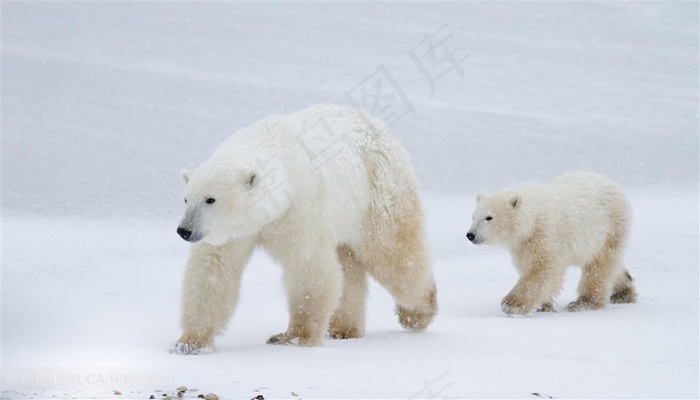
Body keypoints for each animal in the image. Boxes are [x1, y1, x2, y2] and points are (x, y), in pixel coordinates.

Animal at [172, 104, 434, 354]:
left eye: (211, 199)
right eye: (186, 199)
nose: (184, 230)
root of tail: (384, 129)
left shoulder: (300, 207)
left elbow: (307, 265)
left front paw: (293, 337)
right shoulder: (233, 232)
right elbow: (213, 271)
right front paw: (190, 343)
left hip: (378, 191)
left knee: (392, 254)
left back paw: (418, 312)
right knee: (348, 265)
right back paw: (343, 329)